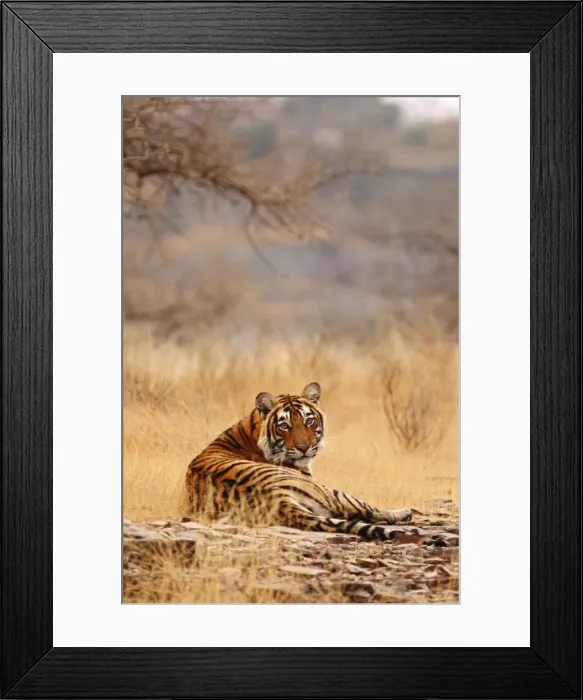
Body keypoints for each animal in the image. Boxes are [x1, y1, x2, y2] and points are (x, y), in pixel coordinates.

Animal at [185, 382, 412, 540]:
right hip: (328, 491)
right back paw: (404, 512)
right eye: (284, 426)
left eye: (309, 421)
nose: (304, 447)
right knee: (365, 509)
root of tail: (276, 500)